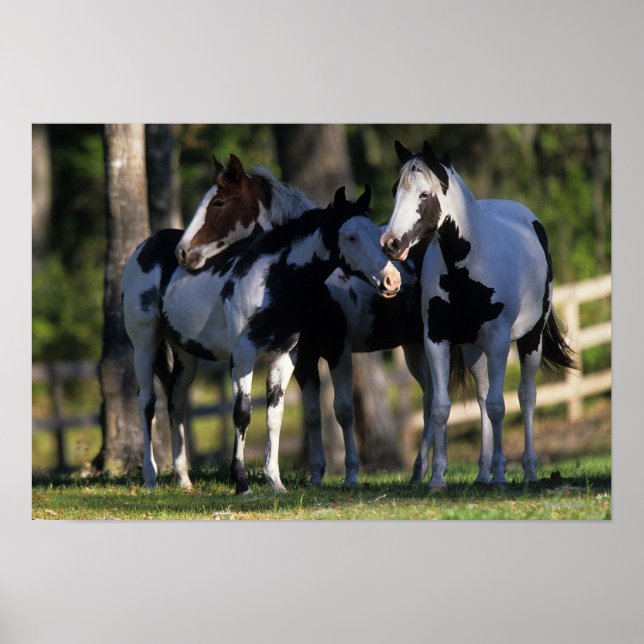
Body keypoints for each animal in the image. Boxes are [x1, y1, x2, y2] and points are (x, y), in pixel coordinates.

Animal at [122, 185, 401, 494]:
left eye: (376, 234)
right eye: (351, 236)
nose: (392, 281)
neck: (274, 280)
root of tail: (146, 246)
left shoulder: (285, 357)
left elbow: (274, 416)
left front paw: (275, 482)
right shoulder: (243, 355)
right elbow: (242, 413)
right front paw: (241, 483)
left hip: (185, 354)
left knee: (175, 401)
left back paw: (183, 479)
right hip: (144, 343)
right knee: (147, 403)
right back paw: (150, 477)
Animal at [381, 141, 575, 488]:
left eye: (424, 195)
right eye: (395, 190)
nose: (391, 243)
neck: (466, 267)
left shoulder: (498, 341)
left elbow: (500, 406)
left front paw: (501, 475)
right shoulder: (437, 340)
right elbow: (441, 407)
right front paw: (437, 479)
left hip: (530, 340)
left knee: (525, 397)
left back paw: (526, 470)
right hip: (474, 350)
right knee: (483, 397)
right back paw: (483, 473)